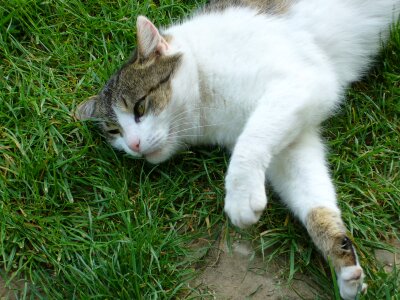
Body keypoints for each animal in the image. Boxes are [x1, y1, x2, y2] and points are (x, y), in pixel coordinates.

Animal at [76, 1, 400, 298]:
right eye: (115, 132)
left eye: (140, 107)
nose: (133, 146)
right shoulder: (294, 140)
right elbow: (311, 196)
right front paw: (341, 258)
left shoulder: (301, 82)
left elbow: (250, 141)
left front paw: (240, 194)